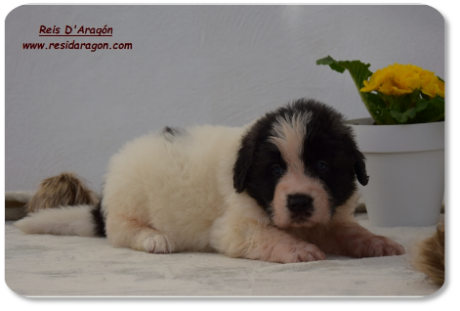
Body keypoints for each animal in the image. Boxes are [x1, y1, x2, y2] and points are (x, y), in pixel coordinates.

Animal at [14, 99, 404, 264]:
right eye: (275, 171)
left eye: (322, 166)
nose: (298, 202)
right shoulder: (233, 227)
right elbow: (266, 234)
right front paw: (297, 249)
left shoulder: (328, 214)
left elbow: (348, 229)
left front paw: (376, 242)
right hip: (130, 200)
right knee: (121, 232)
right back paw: (154, 238)